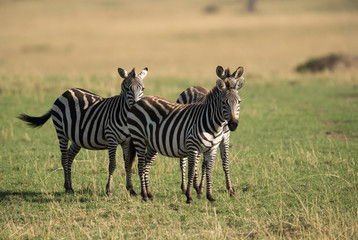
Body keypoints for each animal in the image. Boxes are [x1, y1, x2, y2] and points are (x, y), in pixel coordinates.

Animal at [17, 66, 147, 196]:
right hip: (61, 133)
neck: (123, 116)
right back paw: (68, 187)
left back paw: (68, 186)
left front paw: (131, 190)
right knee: (64, 158)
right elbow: (112, 165)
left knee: (69, 157)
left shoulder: (127, 141)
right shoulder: (111, 139)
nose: (136, 105)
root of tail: (66, 92)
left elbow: (128, 164)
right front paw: (109, 190)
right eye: (127, 88)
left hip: (77, 138)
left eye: (142, 88)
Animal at [127, 66, 245, 204]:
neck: (215, 125)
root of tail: (141, 100)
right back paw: (145, 195)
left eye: (239, 102)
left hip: (152, 144)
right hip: (139, 138)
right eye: (224, 102)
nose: (233, 124)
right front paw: (189, 196)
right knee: (141, 166)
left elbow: (210, 170)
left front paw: (210, 196)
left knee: (146, 166)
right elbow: (191, 170)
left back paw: (149, 194)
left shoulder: (212, 149)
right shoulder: (193, 147)